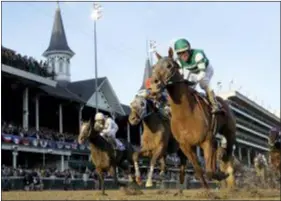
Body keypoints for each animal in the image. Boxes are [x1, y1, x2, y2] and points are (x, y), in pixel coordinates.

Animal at [149, 48, 236, 189]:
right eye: (154, 67)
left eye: (169, 66)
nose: (152, 86)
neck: (185, 114)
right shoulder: (186, 146)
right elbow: (199, 170)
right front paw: (207, 189)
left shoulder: (206, 141)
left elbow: (209, 171)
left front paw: (221, 175)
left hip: (230, 132)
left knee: (228, 153)